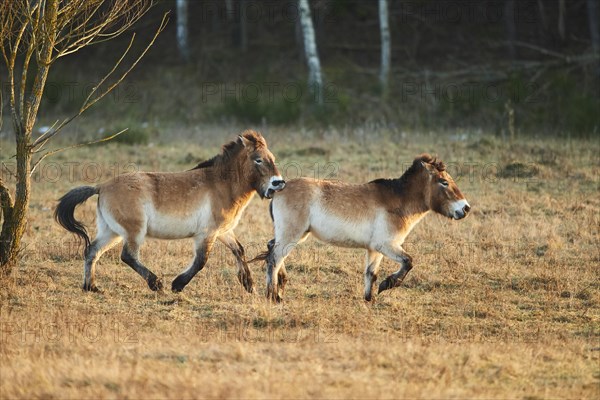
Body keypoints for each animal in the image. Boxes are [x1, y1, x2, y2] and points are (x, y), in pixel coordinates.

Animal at [53, 130, 284, 294]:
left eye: (272, 157)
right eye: (258, 159)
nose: (278, 183)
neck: (221, 184)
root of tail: (101, 186)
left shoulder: (223, 232)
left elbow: (239, 250)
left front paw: (249, 285)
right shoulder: (206, 234)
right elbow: (201, 261)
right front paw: (177, 285)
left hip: (112, 232)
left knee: (92, 251)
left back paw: (91, 287)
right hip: (133, 232)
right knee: (128, 256)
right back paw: (156, 284)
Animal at [255, 155, 472, 302]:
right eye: (444, 182)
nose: (466, 208)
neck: (398, 200)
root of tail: (277, 190)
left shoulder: (374, 249)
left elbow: (371, 274)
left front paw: (370, 299)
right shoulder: (386, 245)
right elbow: (408, 262)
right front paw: (387, 284)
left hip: (294, 235)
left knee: (271, 250)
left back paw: (280, 289)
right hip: (291, 235)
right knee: (274, 259)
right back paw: (273, 296)